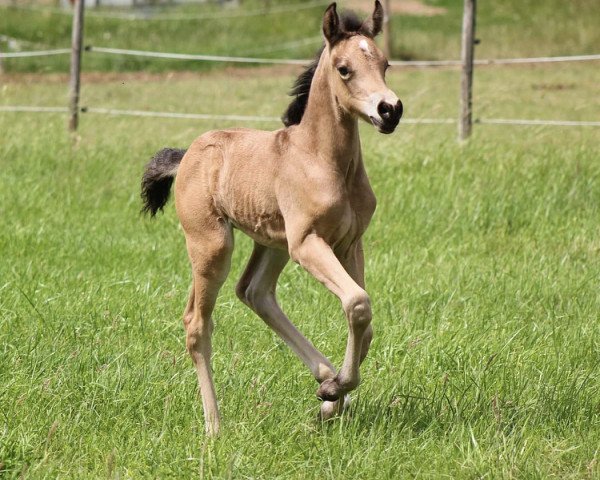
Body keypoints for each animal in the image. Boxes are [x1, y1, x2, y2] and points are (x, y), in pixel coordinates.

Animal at [142, 0, 404, 436]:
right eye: (344, 68)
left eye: (385, 64)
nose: (390, 110)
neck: (321, 160)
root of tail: (188, 154)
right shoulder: (308, 243)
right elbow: (357, 303)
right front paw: (338, 389)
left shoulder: (350, 243)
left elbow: (363, 321)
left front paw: (333, 393)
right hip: (213, 245)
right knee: (197, 323)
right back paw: (214, 426)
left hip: (272, 241)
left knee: (254, 291)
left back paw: (325, 383)